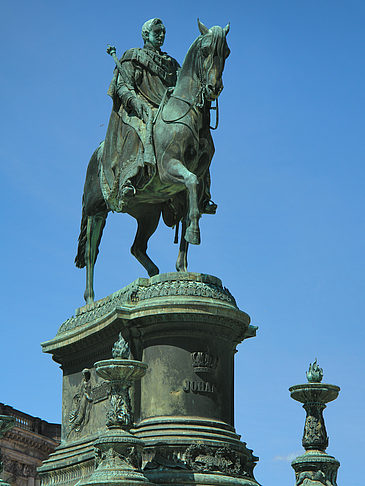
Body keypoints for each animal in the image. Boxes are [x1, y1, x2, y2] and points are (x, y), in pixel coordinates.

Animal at [74, 21, 229, 304]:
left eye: (227, 52)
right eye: (204, 50)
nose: (214, 88)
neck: (186, 115)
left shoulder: (192, 186)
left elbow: (193, 204)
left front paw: (182, 268)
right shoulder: (170, 170)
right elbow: (190, 184)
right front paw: (194, 233)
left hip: (148, 214)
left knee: (137, 247)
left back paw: (153, 275)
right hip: (95, 210)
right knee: (91, 253)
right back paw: (90, 300)